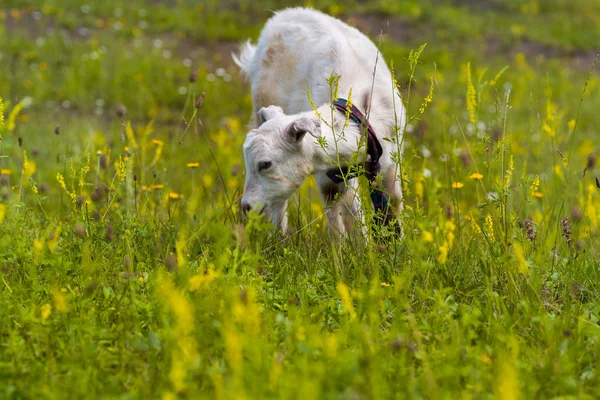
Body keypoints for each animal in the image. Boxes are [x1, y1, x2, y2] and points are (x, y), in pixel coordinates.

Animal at [232, 7, 406, 236]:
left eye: (265, 164)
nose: (247, 206)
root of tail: (282, 14)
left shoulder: (390, 162)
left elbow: (391, 208)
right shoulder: (329, 171)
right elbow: (338, 212)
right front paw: (345, 247)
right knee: (279, 205)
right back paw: (278, 239)